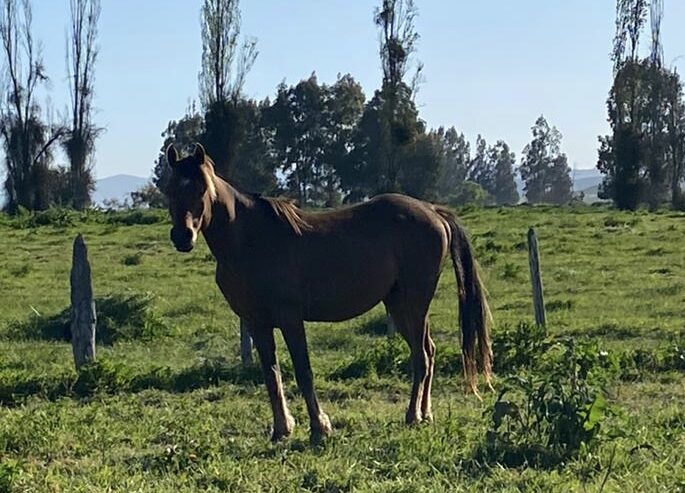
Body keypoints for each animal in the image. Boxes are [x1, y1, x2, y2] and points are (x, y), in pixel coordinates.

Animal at [163, 143, 488, 442]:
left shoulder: (290, 318)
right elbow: (271, 374)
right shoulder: (257, 323)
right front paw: (281, 429)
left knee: (420, 357)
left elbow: (303, 370)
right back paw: (425, 413)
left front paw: (319, 427)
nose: (182, 237)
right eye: (170, 190)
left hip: (414, 303)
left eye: (202, 188)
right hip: (399, 304)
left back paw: (412, 416)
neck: (249, 241)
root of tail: (432, 211)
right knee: (428, 352)